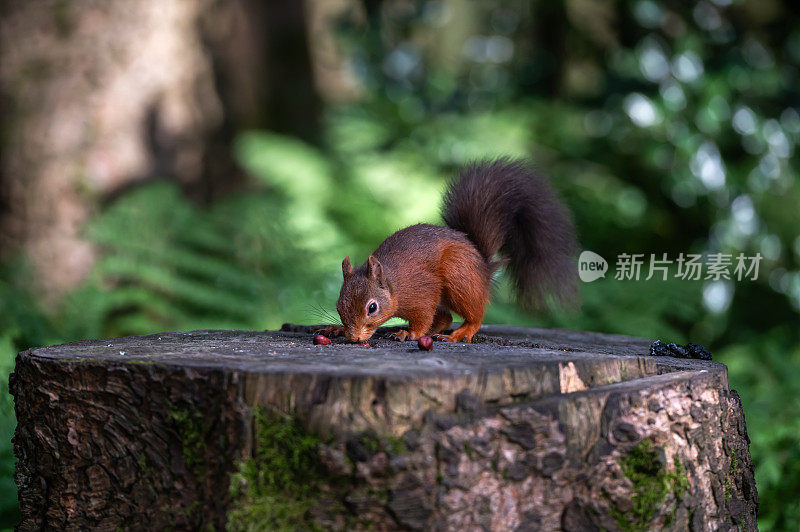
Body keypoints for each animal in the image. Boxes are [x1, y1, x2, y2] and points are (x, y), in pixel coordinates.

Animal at [318, 158, 576, 342]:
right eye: (339, 305)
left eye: (372, 308)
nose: (354, 338)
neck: (394, 286)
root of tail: (482, 264)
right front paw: (337, 328)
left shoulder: (422, 294)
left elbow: (423, 317)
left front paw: (410, 333)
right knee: (445, 317)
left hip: (459, 278)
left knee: (473, 315)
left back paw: (459, 333)